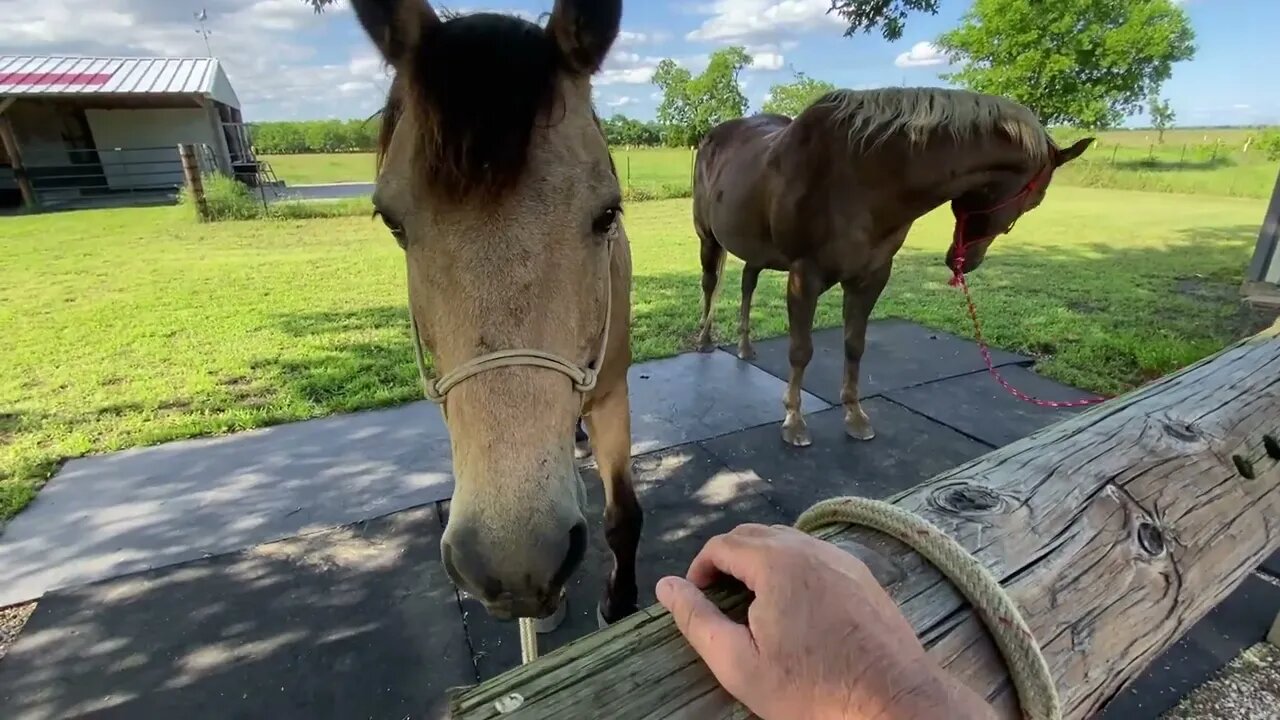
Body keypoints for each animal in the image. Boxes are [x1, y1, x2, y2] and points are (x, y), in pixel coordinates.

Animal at [350, 0, 640, 627]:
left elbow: (623, 515)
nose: (516, 562)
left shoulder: (612, 390)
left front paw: (620, 603)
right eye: (392, 222)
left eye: (608, 213)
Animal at [696, 87, 1095, 445]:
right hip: (709, 239)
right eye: (1035, 200)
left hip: (756, 249)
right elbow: (801, 350)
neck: (861, 177)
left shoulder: (872, 276)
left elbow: (855, 345)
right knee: (710, 284)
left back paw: (745, 348)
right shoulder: (804, 275)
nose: (967, 261)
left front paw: (855, 415)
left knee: (748, 283)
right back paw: (704, 340)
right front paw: (794, 421)